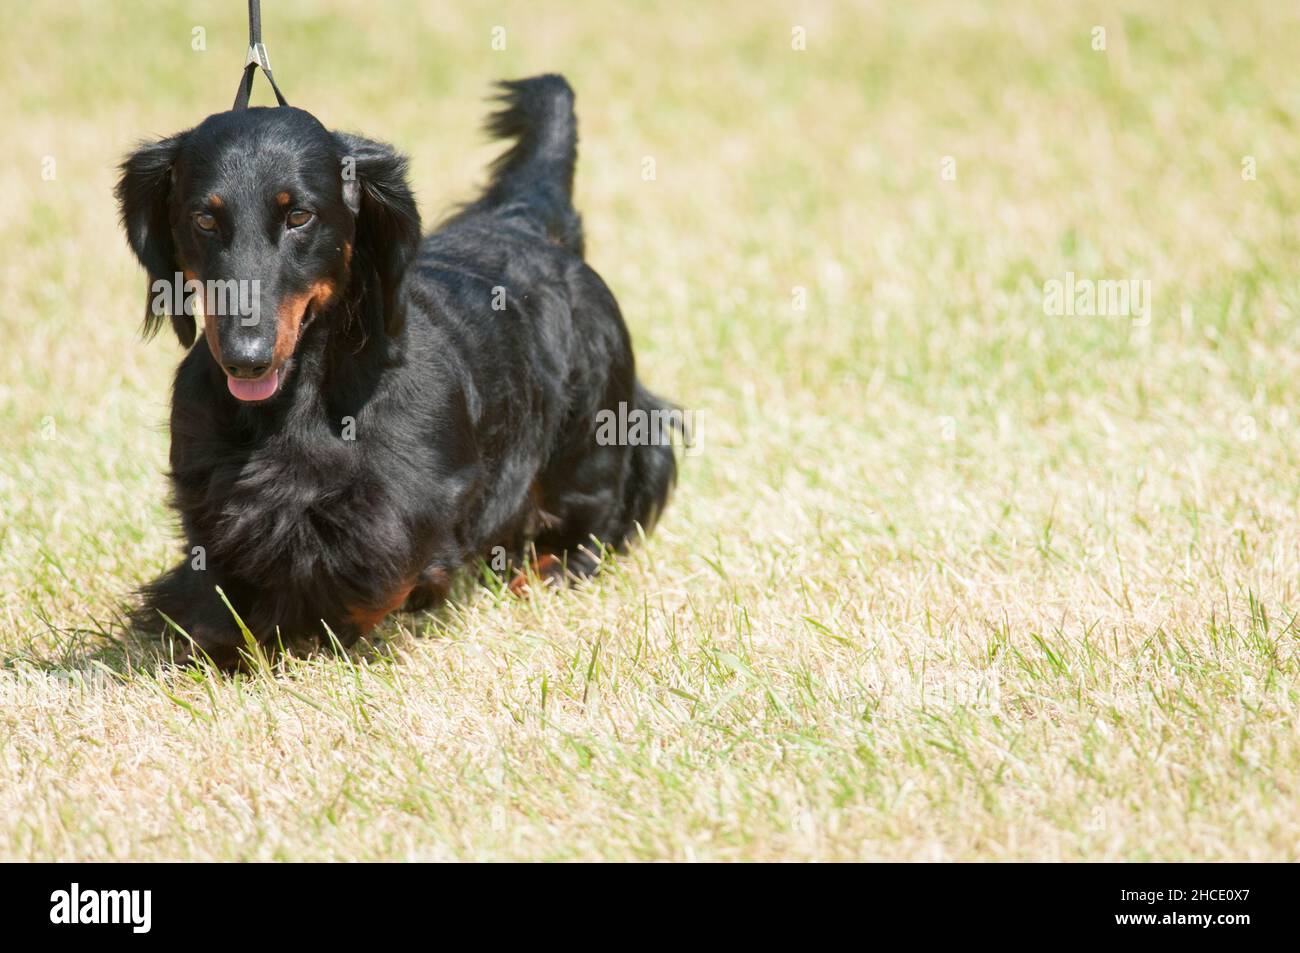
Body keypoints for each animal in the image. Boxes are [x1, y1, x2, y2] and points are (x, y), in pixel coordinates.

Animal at [118, 74, 681, 665]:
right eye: (204, 218)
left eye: (299, 216)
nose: (246, 359)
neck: (297, 400)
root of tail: (523, 221)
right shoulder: (213, 501)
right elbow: (215, 593)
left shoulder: (419, 498)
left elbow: (377, 569)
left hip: (594, 441)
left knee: (591, 521)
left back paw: (545, 570)